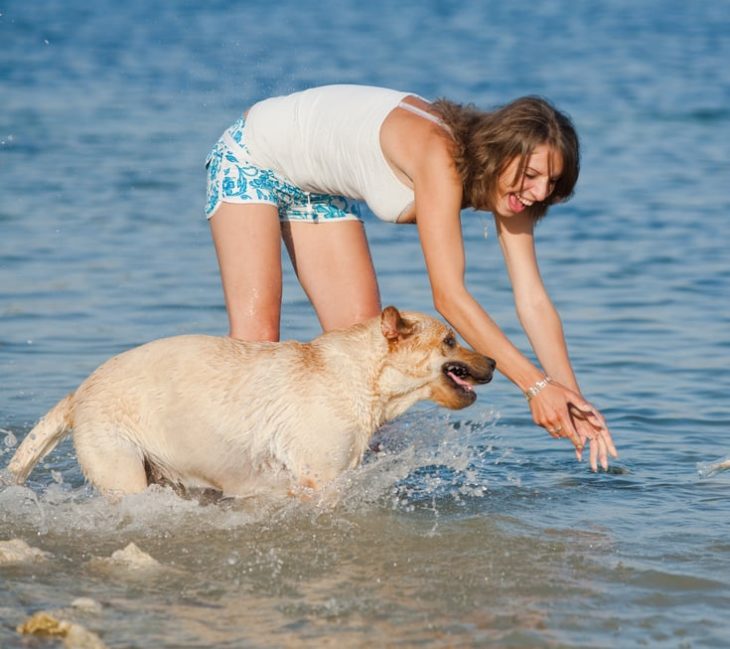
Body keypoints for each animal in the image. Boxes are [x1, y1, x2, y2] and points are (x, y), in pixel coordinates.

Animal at [7, 306, 494, 498]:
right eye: (450, 340)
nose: (492, 359)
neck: (359, 377)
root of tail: (79, 391)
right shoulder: (320, 481)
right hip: (122, 471)